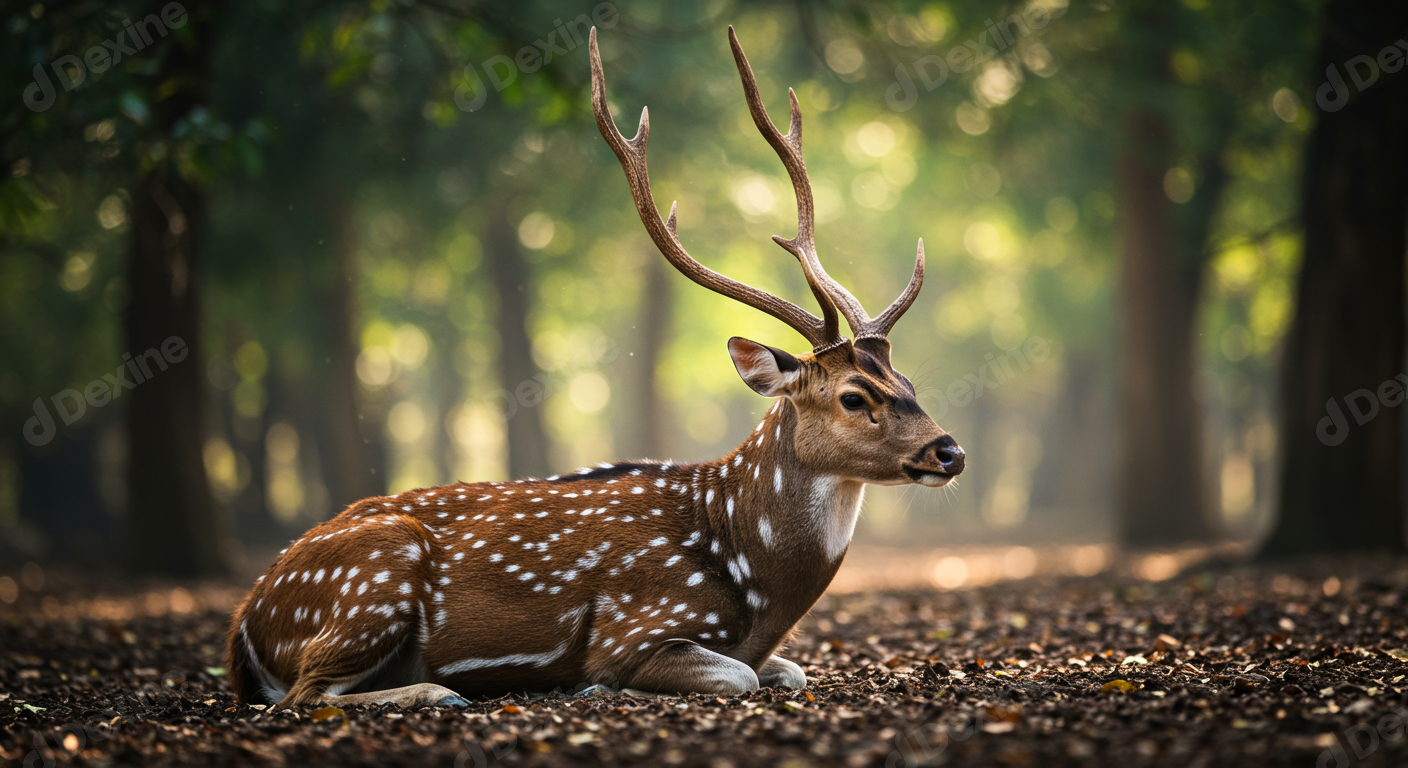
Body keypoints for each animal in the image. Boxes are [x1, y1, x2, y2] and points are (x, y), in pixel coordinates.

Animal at [224, 25, 965, 709]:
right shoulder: (637, 623)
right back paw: (437, 691)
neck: (753, 581)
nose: (949, 451)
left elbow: (790, 669)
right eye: (853, 395)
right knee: (303, 695)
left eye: (908, 384)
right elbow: (739, 674)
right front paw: (597, 686)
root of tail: (244, 624)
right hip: (372, 582)